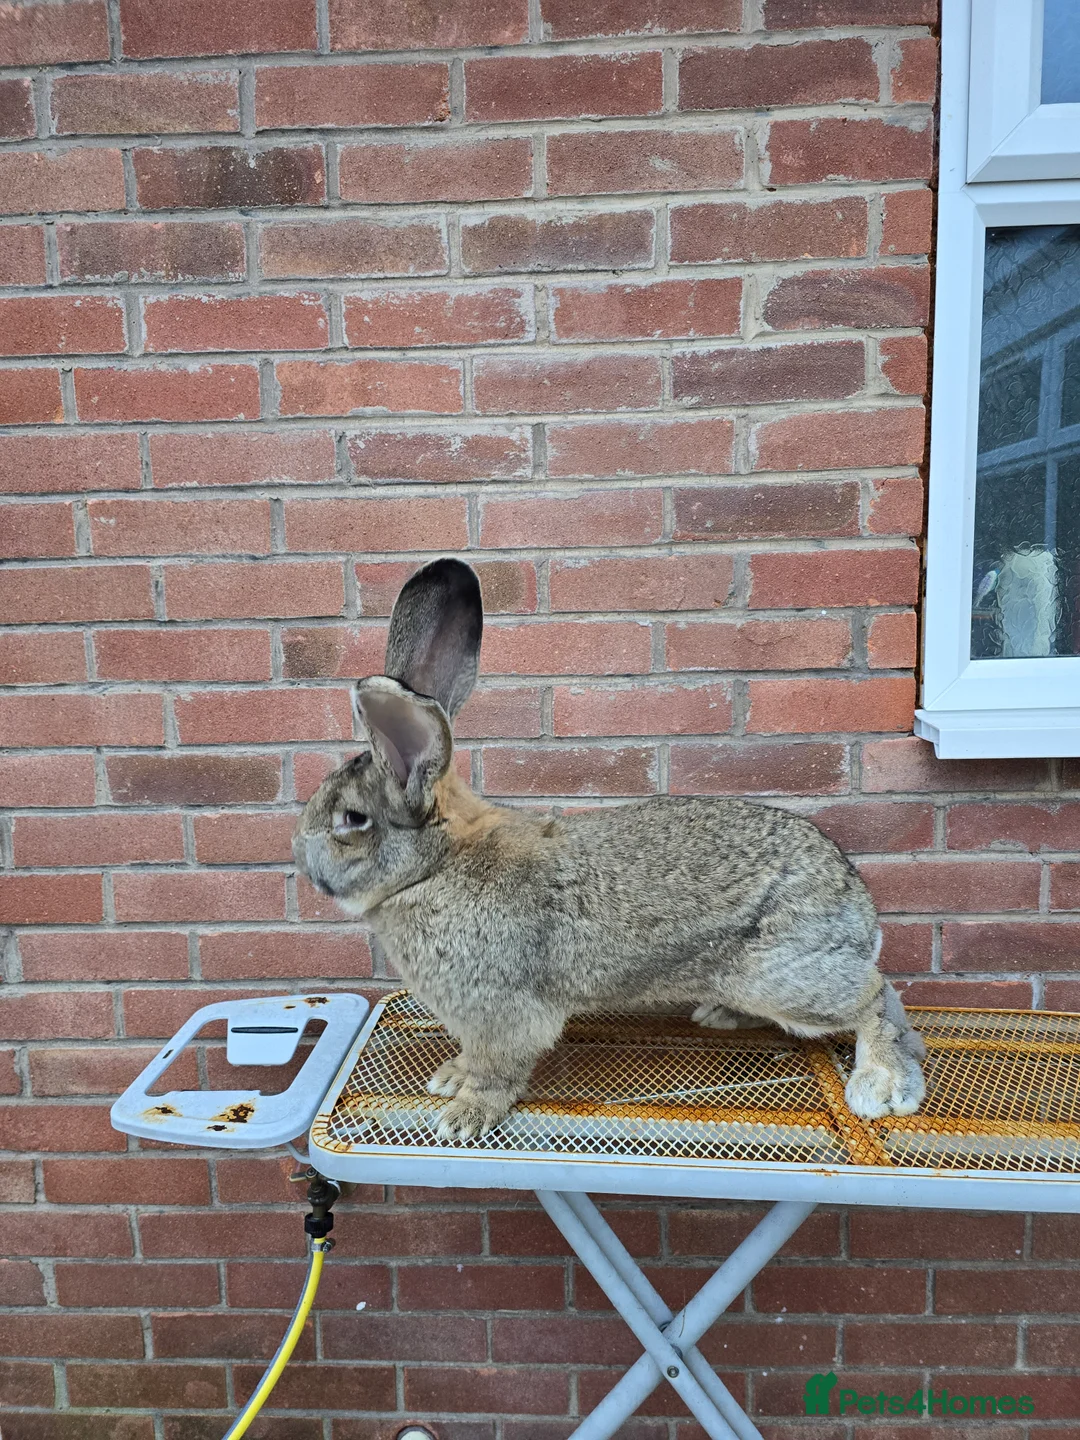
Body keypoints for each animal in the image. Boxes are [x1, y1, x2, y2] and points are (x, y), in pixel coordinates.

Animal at [293, 557, 926, 1141]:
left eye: (351, 819)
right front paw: (451, 1077)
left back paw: (882, 1084)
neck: (436, 866)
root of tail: (861, 910)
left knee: (875, 995)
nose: (300, 857)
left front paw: (462, 1116)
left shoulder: (500, 1015)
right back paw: (720, 1014)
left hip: (786, 978)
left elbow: (498, 1071)